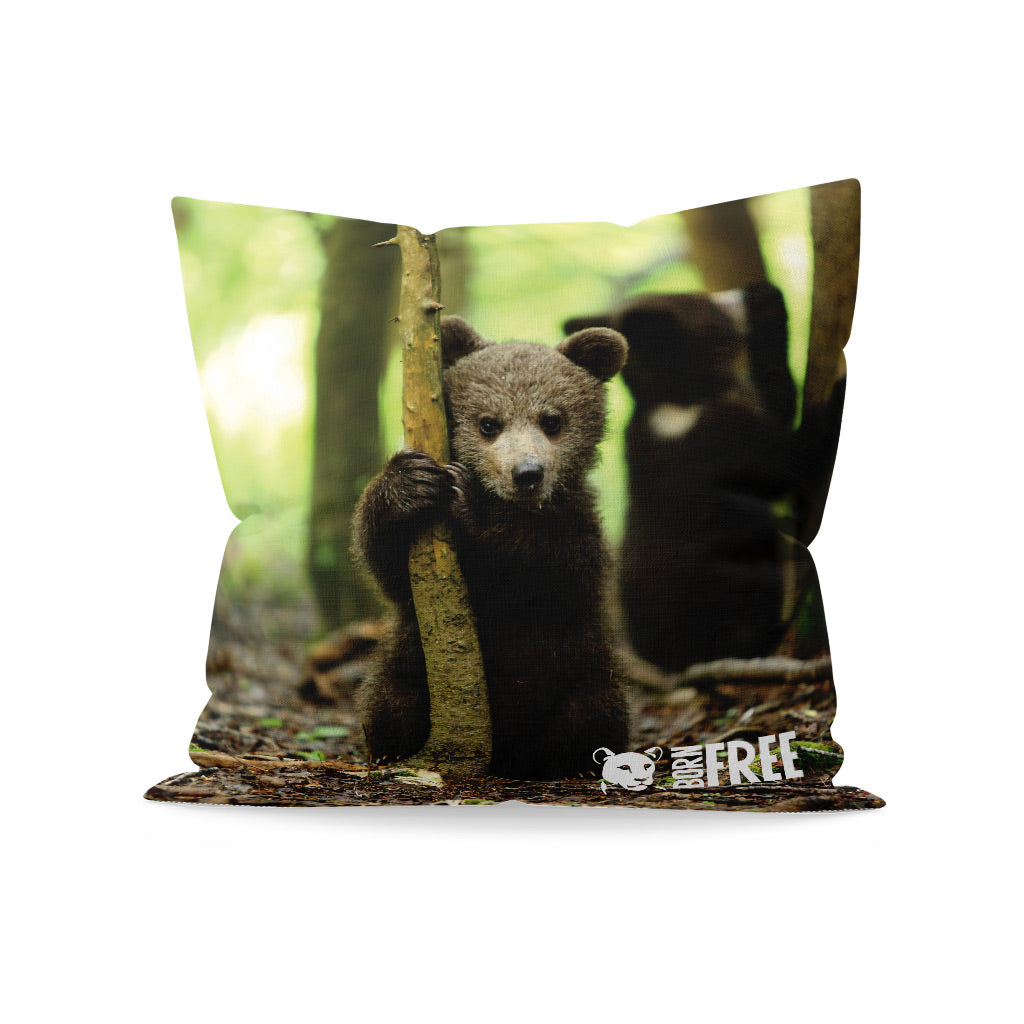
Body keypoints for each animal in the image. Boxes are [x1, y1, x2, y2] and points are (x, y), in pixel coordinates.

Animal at [353, 316, 631, 779]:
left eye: (552, 419)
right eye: (488, 423)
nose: (527, 473)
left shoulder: (579, 533)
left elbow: (554, 572)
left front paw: (473, 502)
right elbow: (390, 569)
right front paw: (410, 481)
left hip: (581, 673)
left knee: (591, 715)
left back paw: (572, 765)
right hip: (410, 668)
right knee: (391, 704)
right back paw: (392, 752)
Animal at [564, 284, 799, 673]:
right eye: (705, 301)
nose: (737, 293)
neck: (678, 399)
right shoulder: (726, 432)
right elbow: (781, 466)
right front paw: (767, 300)